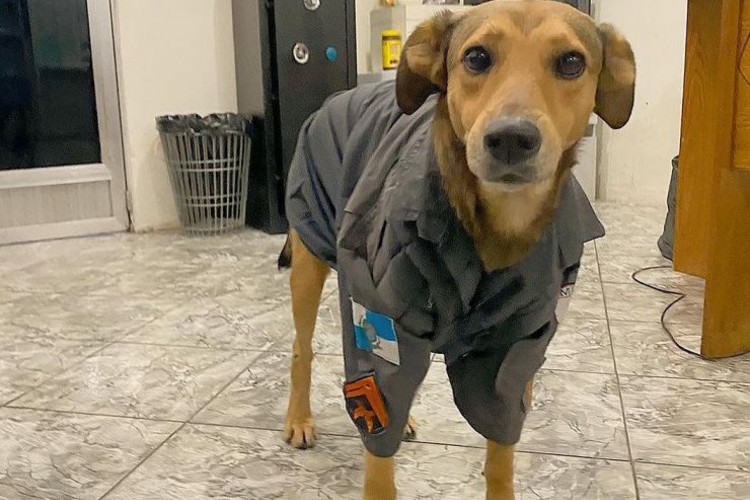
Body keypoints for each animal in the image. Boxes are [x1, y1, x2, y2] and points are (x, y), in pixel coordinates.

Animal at [279, 1, 635, 498]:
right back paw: (299, 419)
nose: (511, 138)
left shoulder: (509, 358)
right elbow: (379, 453)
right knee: (302, 348)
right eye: (477, 57)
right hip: (309, 259)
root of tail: (339, 95)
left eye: (571, 62)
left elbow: (500, 453)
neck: (493, 227)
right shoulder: (380, 332)